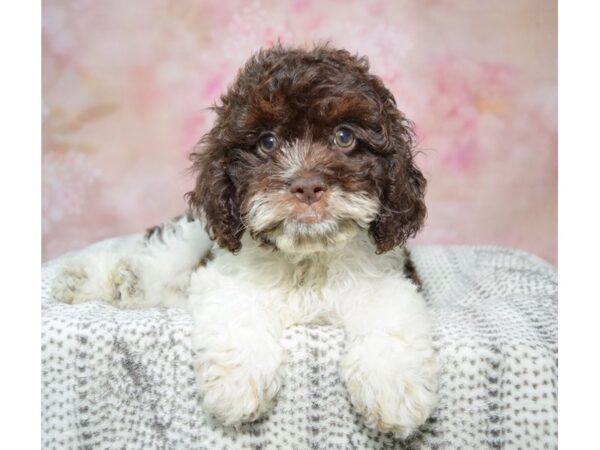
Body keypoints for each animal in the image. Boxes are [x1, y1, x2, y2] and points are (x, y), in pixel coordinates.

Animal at [54, 44, 438, 438]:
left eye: (344, 137)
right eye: (267, 142)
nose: (307, 186)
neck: (307, 259)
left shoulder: (390, 277)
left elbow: (389, 317)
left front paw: (394, 391)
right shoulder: (225, 274)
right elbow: (237, 311)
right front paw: (237, 384)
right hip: (192, 237)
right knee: (162, 256)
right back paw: (99, 278)